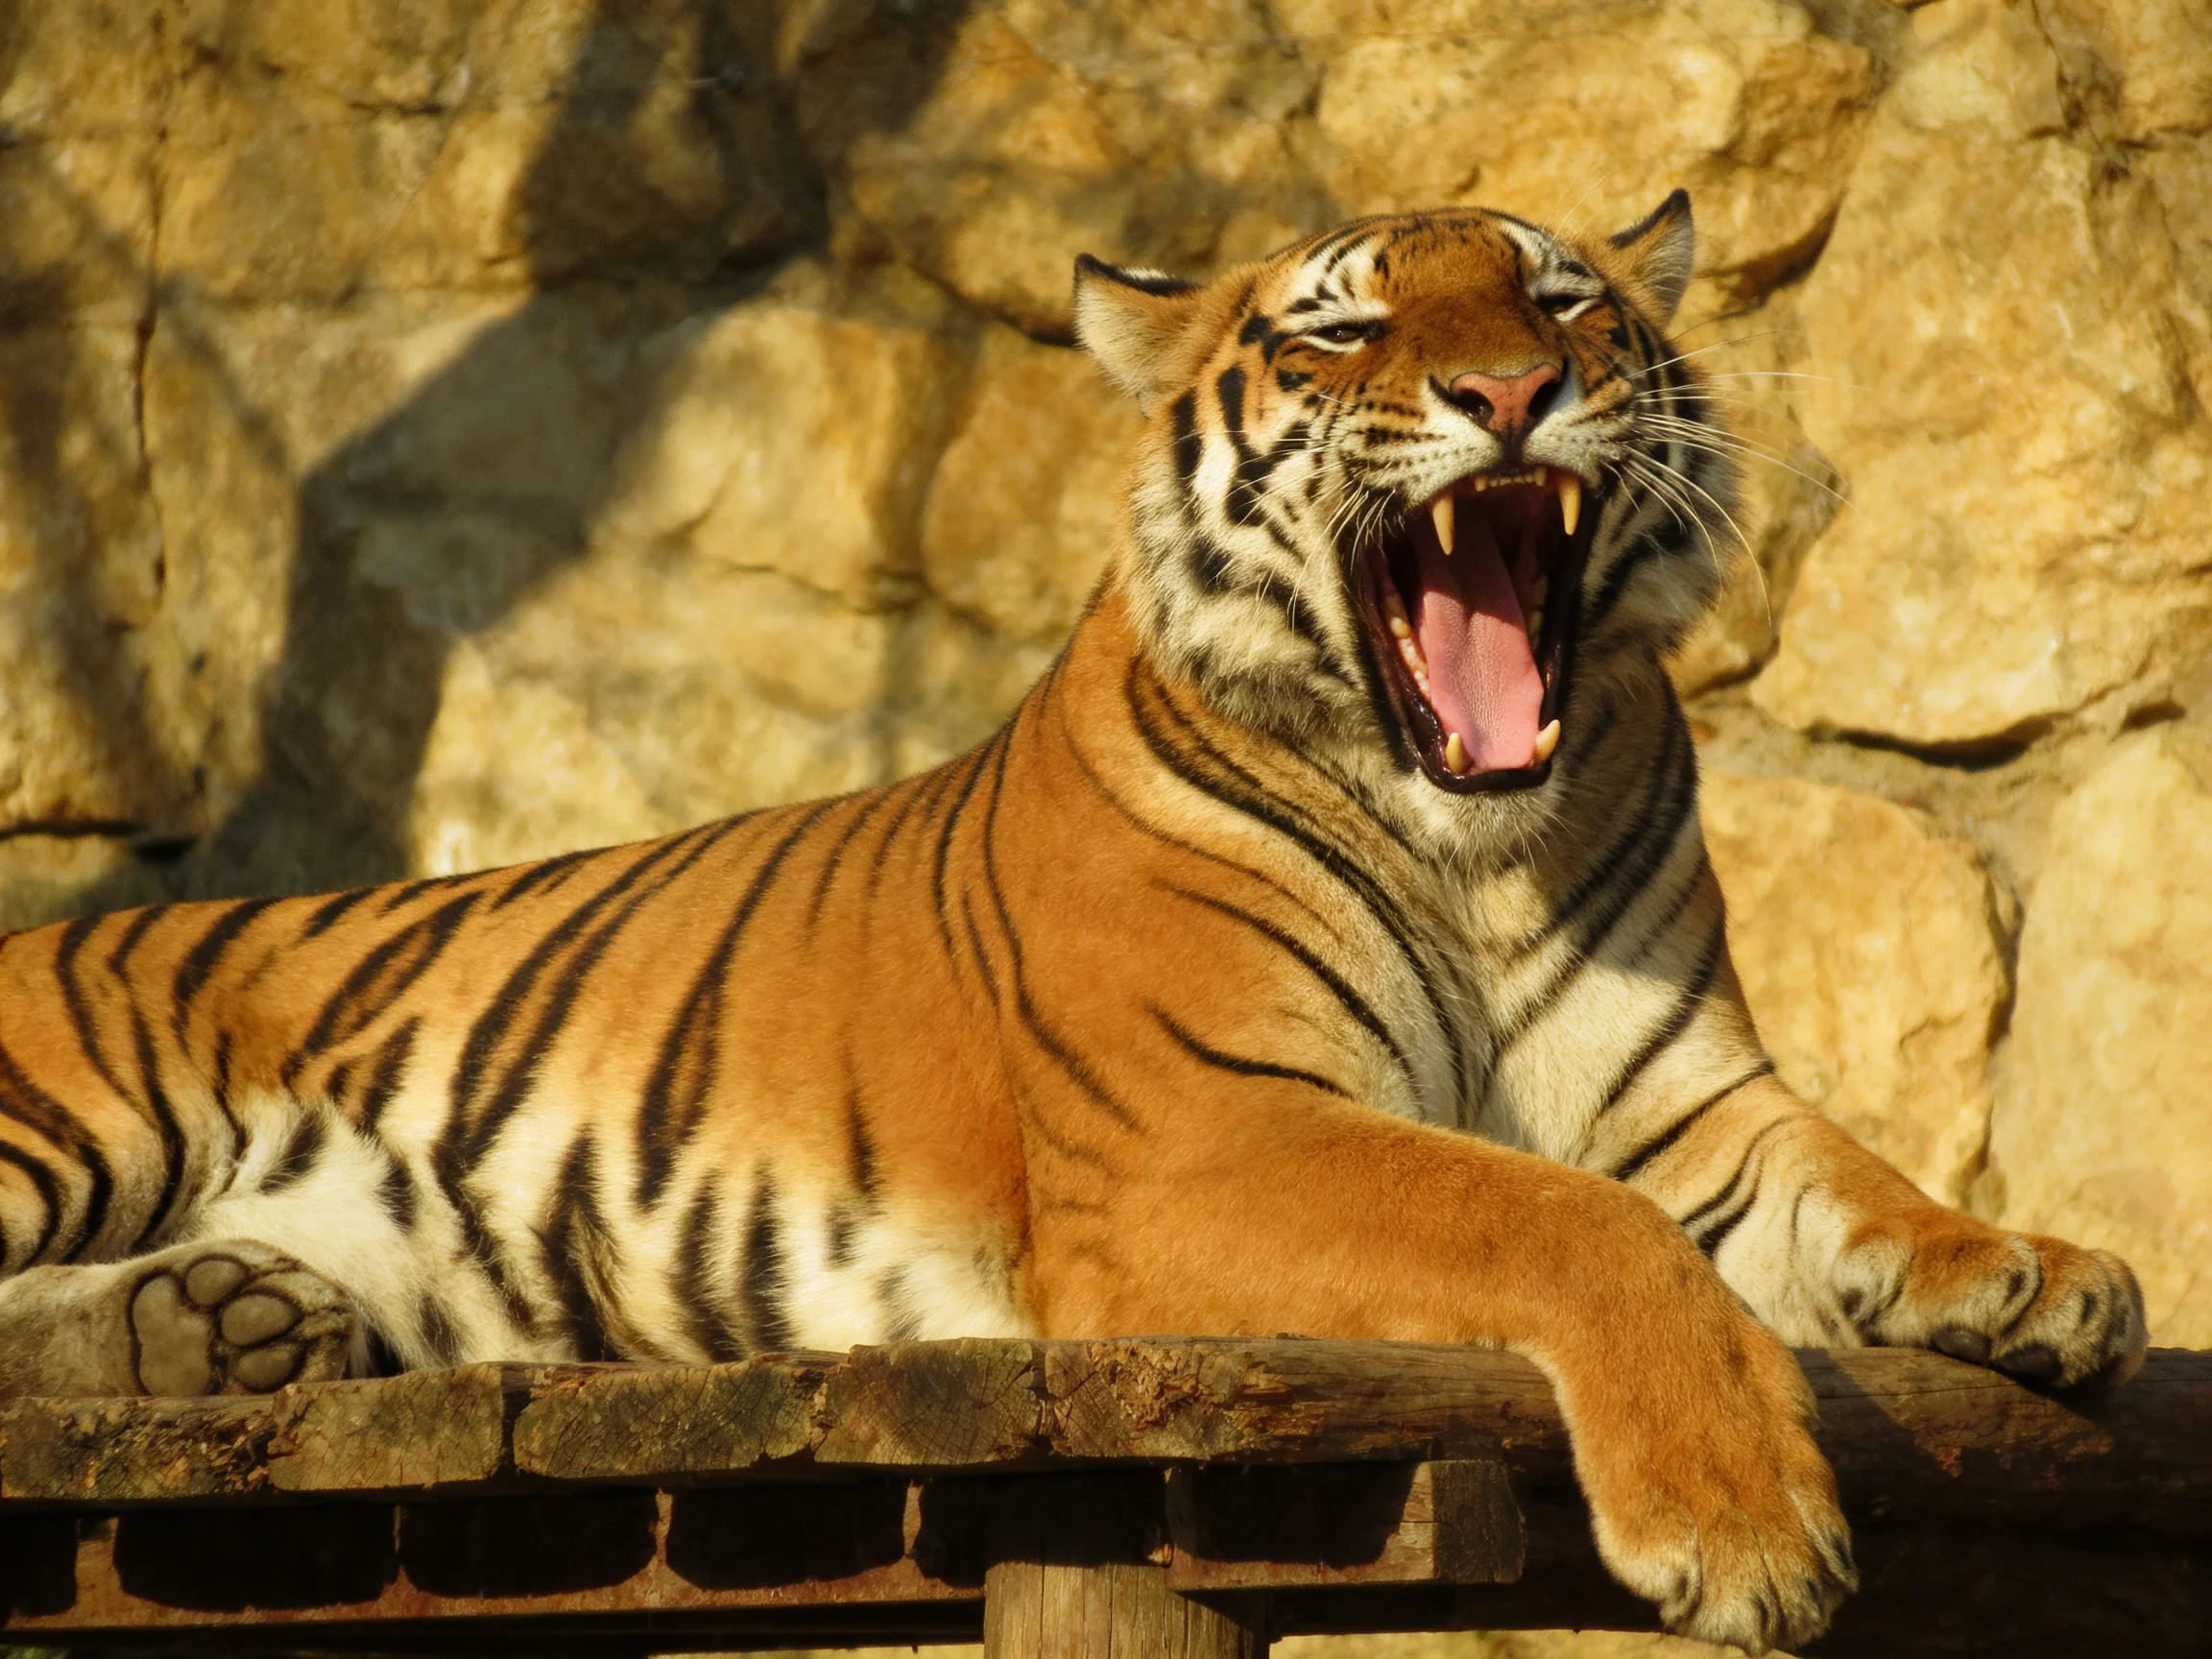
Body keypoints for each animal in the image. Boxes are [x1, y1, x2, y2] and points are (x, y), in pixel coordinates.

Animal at [0, 194, 2144, 1651]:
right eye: (1348, 325)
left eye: (1558, 299)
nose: (1512, 392)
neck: (1477, 844)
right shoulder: (1198, 1131)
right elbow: (1550, 1219)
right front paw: (1748, 1523)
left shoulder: (1693, 1112)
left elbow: (1852, 1178)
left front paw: (2031, 1273)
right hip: (73, 1115)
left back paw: (219, 1326)